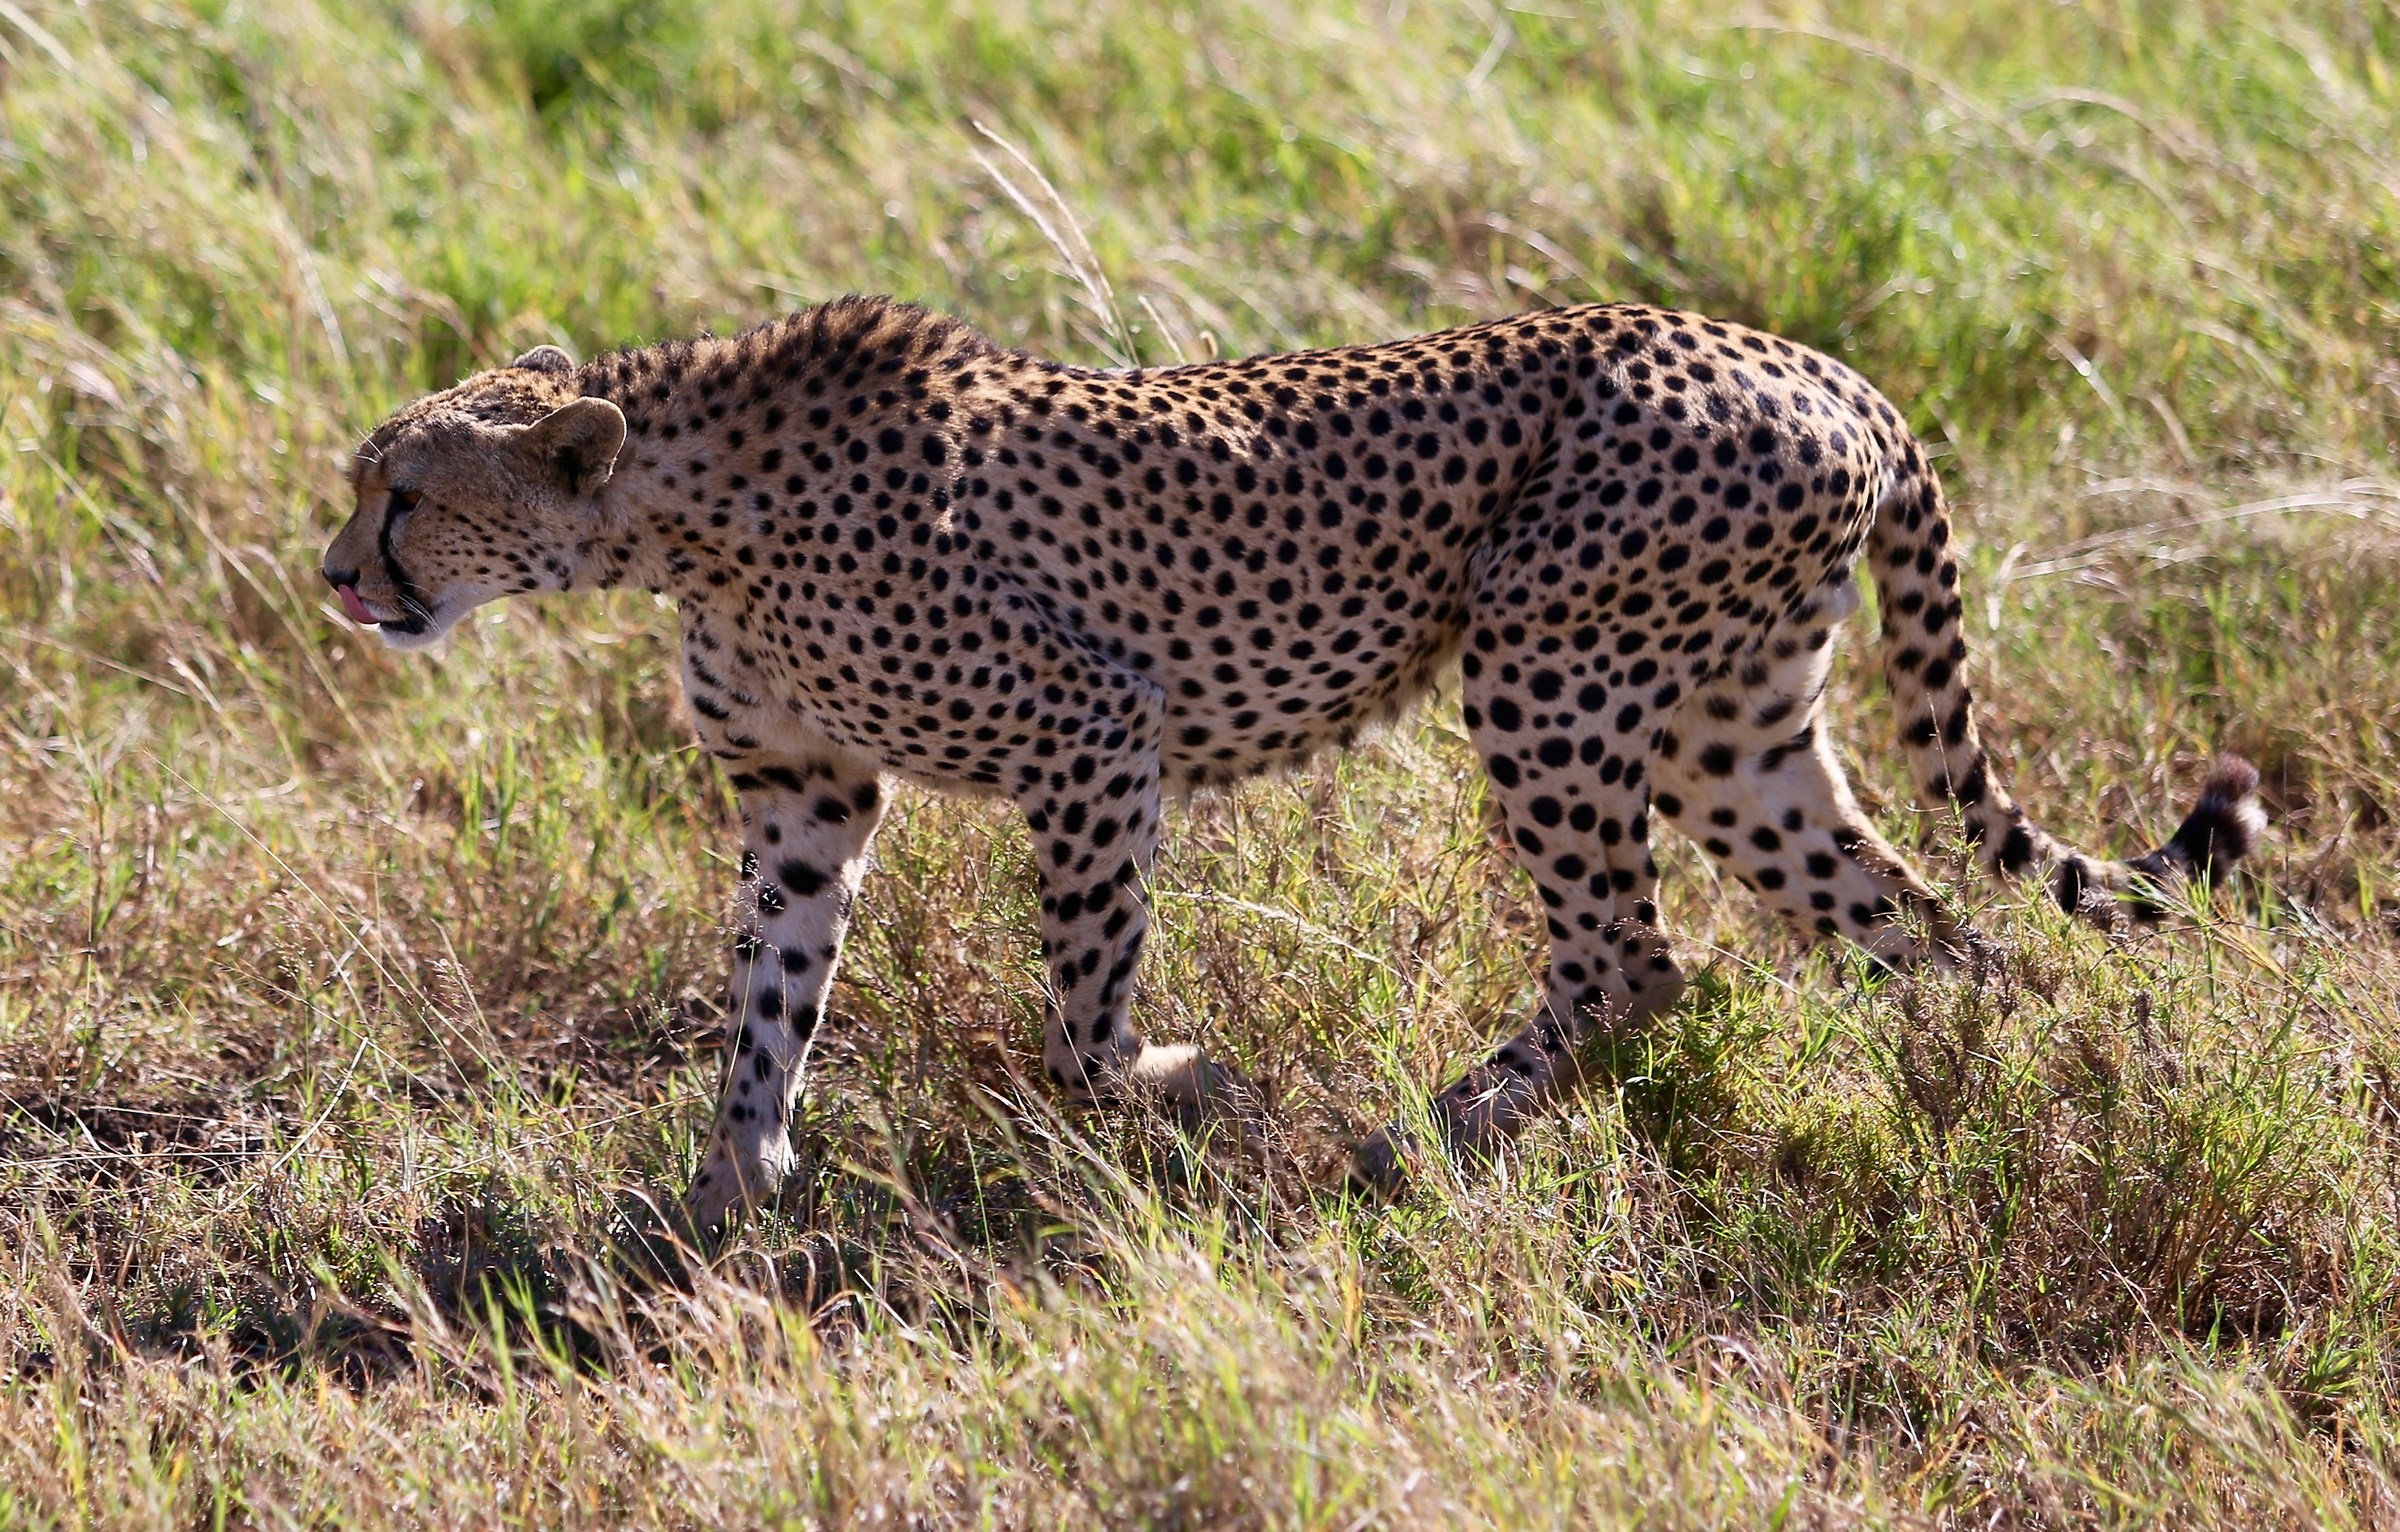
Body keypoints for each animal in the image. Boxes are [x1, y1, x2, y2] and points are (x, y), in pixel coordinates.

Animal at [322, 296, 2264, 1235]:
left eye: (403, 491)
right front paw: (725, 1197)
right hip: (1734, 728)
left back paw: (1433, 1129)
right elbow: (766, 1000)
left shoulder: (1094, 733)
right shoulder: (807, 793)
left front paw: (1189, 1089)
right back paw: (1975, 1102)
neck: (677, 509)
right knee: (1929, 929)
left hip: (1546, 668)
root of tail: (1817, 360)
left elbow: (1080, 1010)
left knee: (1636, 955)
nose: (338, 576)